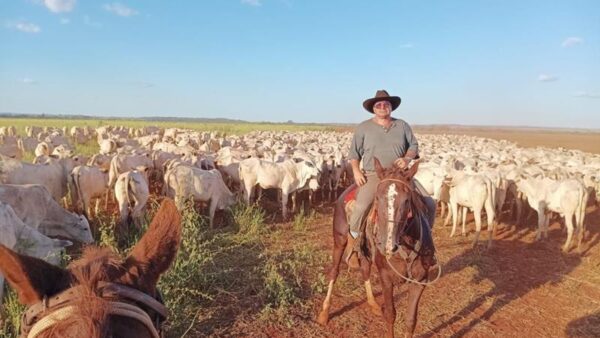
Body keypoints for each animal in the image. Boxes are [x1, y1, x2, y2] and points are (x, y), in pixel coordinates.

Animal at [316, 158, 438, 338]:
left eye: (407, 200)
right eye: (378, 198)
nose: (387, 244)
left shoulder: (420, 280)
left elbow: (411, 320)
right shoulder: (386, 277)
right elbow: (390, 314)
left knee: (365, 268)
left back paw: (373, 303)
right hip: (339, 240)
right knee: (334, 271)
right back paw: (325, 312)